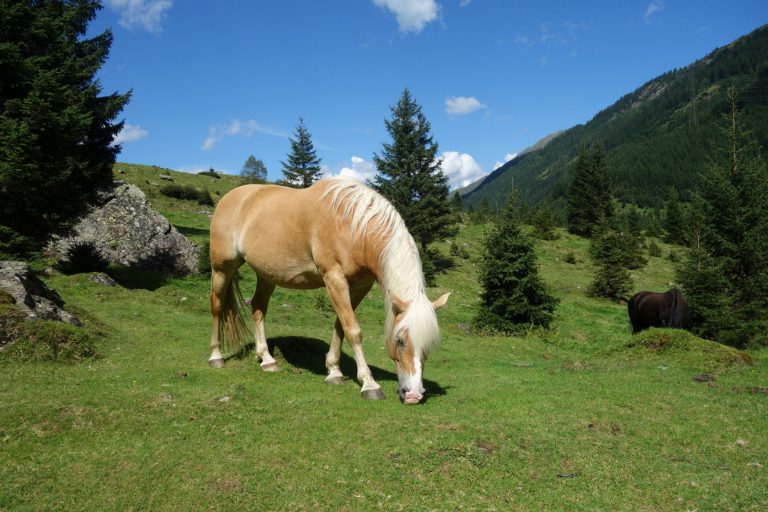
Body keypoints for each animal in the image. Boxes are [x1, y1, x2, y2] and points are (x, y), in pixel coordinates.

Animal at [208, 179, 450, 404]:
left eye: (429, 345)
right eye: (399, 340)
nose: (413, 395)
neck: (352, 226)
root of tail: (231, 197)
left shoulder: (359, 286)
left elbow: (340, 327)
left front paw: (334, 372)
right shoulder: (334, 278)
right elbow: (353, 330)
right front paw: (369, 384)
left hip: (266, 275)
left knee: (258, 309)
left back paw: (267, 359)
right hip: (222, 269)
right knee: (217, 307)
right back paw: (216, 357)